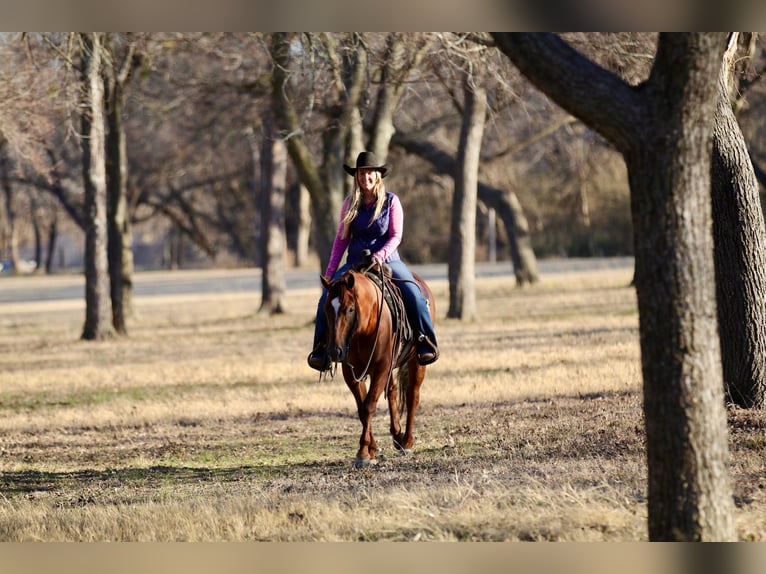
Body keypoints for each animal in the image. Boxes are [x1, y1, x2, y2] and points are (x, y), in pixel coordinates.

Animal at [321, 264, 436, 468]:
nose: (335, 351)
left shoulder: (381, 366)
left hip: (417, 362)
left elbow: (369, 406)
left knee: (412, 396)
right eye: (326, 309)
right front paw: (370, 449)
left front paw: (363, 453)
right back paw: (397, 435)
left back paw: (407, 442)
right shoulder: (351, 372)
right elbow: (362, 409)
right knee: (392, 390)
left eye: (350, 309)